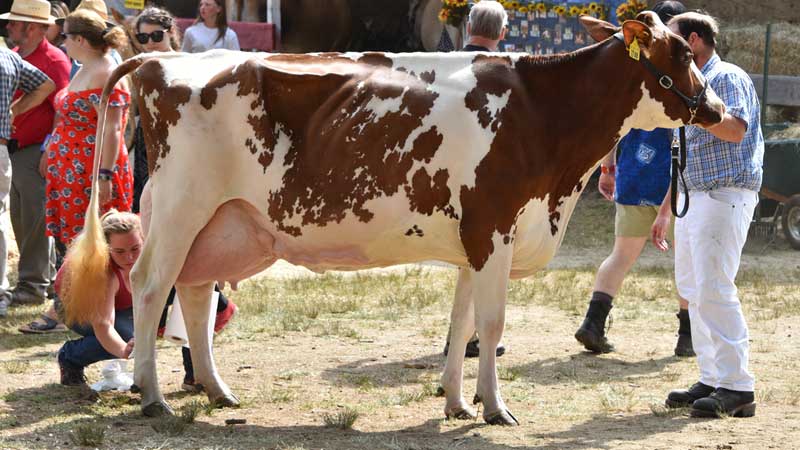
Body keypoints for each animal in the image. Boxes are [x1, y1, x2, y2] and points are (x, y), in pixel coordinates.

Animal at [83, 12, 724, 425]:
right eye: (683, 55)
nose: (717, 109)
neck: (541, 112)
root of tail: (161, 57)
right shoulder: (494, 228)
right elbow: (492, 326)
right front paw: (495, 409)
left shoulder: (475, 242)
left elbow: (462, 325)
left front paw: (457, 402)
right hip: (180, 205)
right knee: (149, 287)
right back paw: (153, 397)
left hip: (221, 221)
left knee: (193, 294)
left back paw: (218, 392)